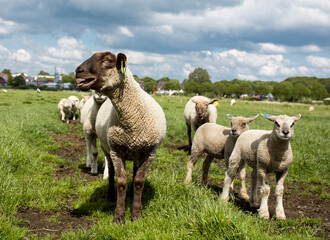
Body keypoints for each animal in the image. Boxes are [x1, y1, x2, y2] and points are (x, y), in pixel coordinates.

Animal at [76, 50, 166, 223]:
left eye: (107, 60)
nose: (78, 71)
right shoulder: (117, 152)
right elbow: (121, 182)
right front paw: (118, 217)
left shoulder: (150, 153)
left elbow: (139, 181)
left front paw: (136, 215)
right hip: (107, 149)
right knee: (110, 172)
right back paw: (110, 196)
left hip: (138, 151)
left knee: (135, 172)